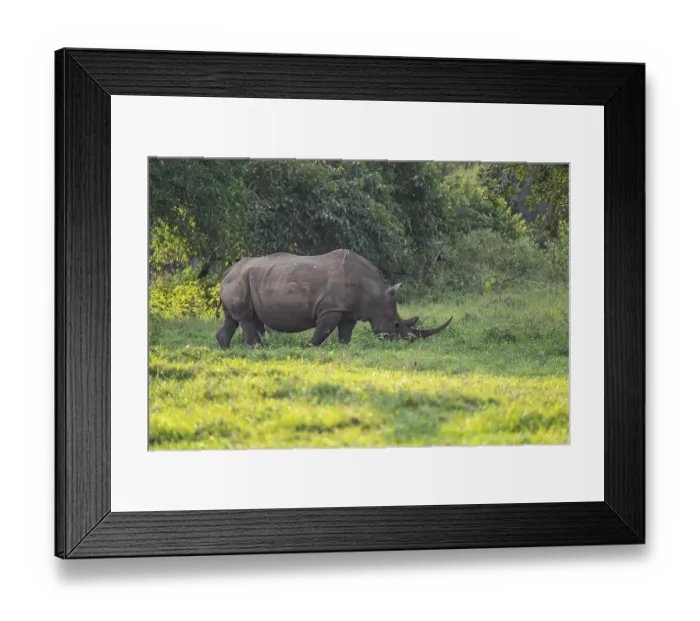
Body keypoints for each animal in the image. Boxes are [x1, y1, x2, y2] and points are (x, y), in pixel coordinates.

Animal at [215, 249, 452, 348]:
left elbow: (345, 333)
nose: (408, 341)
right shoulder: (331, 308)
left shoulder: (348, 312)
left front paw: (343, 347)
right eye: (395, 324)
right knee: (246, 319)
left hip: (242, 279)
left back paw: (225, 347)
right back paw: (256, 348)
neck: (375, 292)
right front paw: (307, 346)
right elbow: (323, 331)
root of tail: (227, 271)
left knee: (233, 319)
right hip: (240, 280)